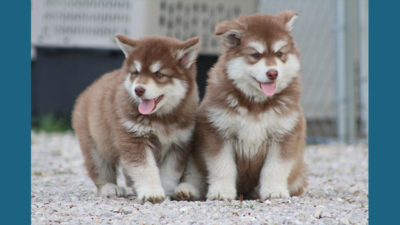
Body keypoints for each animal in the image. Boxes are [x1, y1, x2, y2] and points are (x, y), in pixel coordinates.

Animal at [72, 34, 200, 203]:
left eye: (158, 74)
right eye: (136, 72)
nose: (138, 90)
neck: (162, 119)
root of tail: (89, 88)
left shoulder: (179, 144)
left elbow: (169, 174)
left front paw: (165, 192)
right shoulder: (134, 139)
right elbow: (146, 169)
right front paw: (152, 192)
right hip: (95, 145)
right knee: (100, 169)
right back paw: (110, 188)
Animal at [176, 11, 306, 200]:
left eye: (279, 53)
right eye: (256, 55)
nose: (273, 73)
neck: (256, 102)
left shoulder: (284, 135)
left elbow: (274, 168)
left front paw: (274, 190)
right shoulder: (217, 132)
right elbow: (223, 167)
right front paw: (222, 191)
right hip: (194, 155)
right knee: (195, 176)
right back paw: (187, 190)